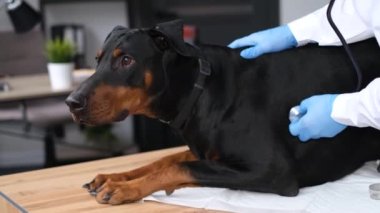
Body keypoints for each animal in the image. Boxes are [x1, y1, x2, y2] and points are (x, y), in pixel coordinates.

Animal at [65, 20, 380, 205]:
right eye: (97, 59)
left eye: (127, 60)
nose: (72, 103)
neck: (200, 91)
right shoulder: (206, 151)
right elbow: (163, 160)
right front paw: (114, 178)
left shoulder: (273, 171)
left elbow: (177, 167)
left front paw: (124, 189)